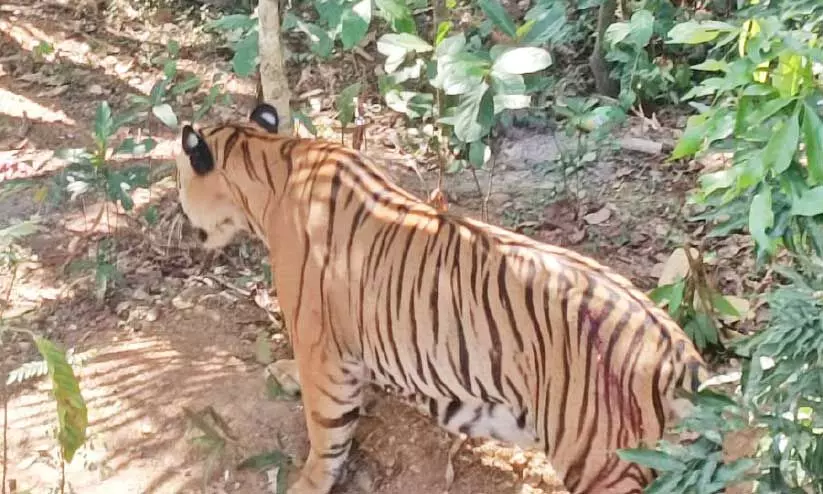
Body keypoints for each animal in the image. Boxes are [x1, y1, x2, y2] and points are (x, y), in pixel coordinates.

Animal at [174, 102, 709, 494]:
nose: (184, 226)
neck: (272, 155)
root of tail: (678, 356)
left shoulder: (320, 345)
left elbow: (325, 431)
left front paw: (306, 482)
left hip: (602, 465)